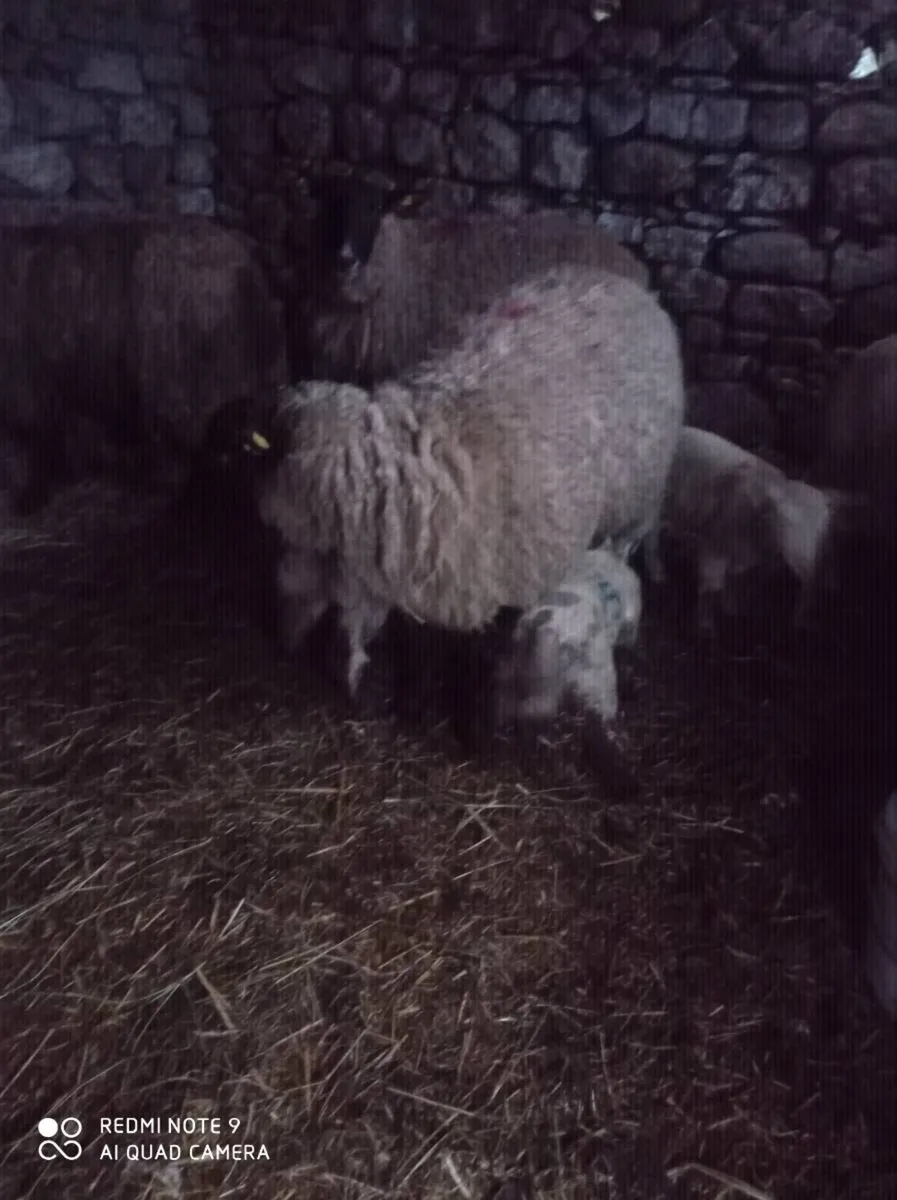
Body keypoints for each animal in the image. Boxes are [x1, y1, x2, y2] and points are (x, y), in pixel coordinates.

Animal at [644, 425, 860, 632]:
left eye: (821, 529)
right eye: (785, 521)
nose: (808, 566)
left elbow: (732, 581)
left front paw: (731, 608)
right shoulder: (714, 544)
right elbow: (710, 586)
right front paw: (705, 625)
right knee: (651, 538)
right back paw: (658, 573)